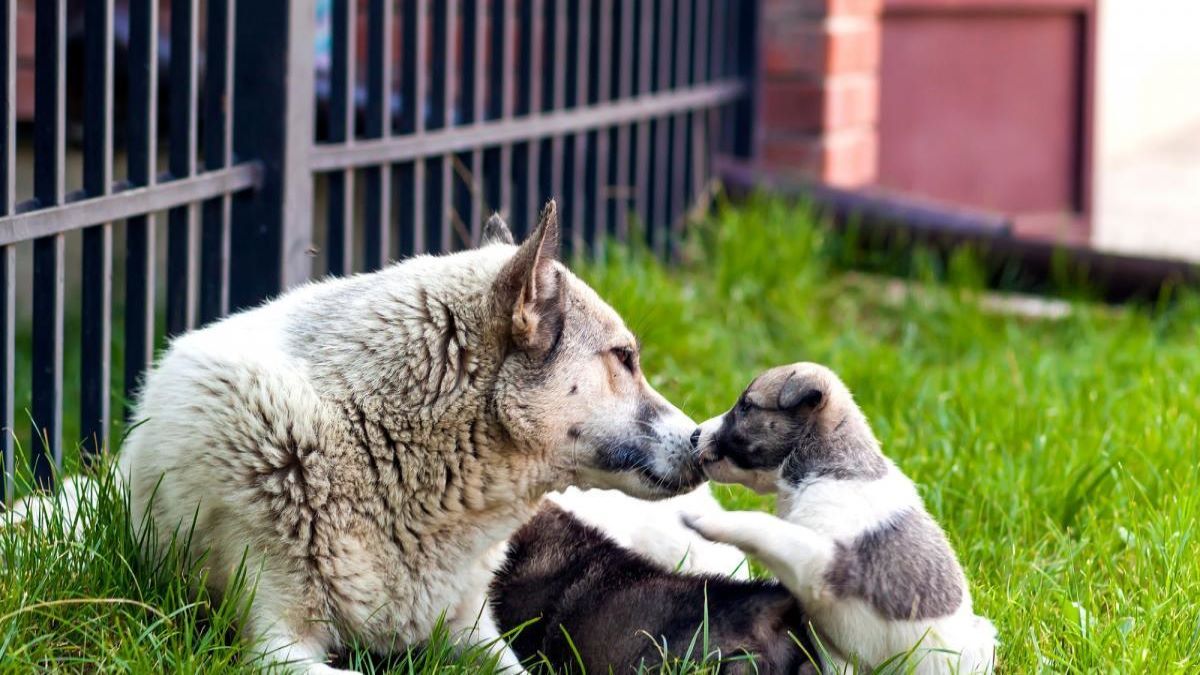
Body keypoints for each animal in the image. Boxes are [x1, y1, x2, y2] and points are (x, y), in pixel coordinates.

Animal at [681, 362, 998, 672]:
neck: (818, 470)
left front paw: (703, 519)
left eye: (746, 406)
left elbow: (764, 526)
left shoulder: (820, 558)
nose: (694, 435)